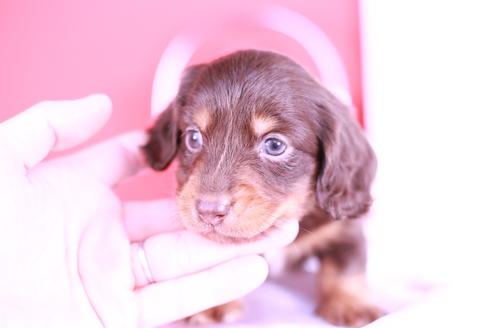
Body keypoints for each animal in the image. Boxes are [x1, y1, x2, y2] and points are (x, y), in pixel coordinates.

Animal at [142, 50, 380, 326]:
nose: (209, 211)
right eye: (193, 137)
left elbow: (346, 265)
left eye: (275, 145)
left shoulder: (344, 229)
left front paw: (350, 303)